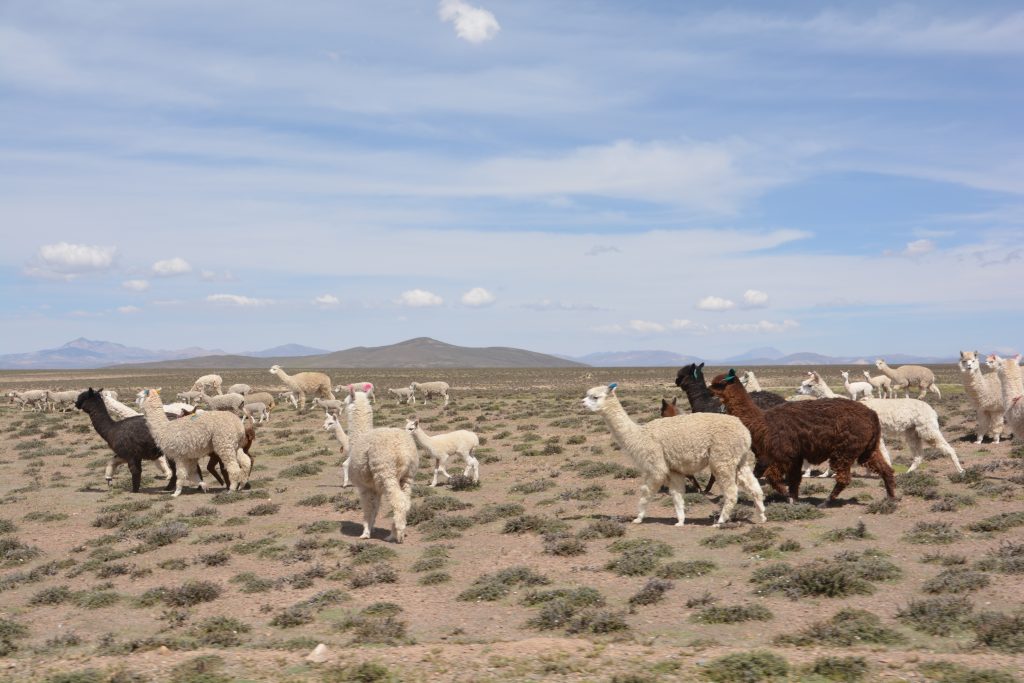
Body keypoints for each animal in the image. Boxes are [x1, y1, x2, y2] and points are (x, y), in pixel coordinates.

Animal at [344, 386, 418, 542]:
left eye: (345, 401)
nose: (340, 407)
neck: (358, 438)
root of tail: (402, 450)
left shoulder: (363, 487)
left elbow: (367, 508)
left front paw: (365, 533)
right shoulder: (375, 487)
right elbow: (375, 507)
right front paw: (371, 528)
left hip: (386, 472)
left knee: (398, 501)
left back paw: (397, 535)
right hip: (408, 476)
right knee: (406, 501)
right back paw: (394, 532)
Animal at [584, 383, 765, 527]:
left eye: (595, 396)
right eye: (587, 395)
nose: (582, 402)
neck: (640, 436)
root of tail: (744, 431)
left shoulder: (656, 466)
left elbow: (646, 492)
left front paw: (638, 518)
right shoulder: (674, 470)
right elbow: (677, 496)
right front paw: (680, 521)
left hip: (722, 459)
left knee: (732, 491)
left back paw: (720, 521)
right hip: (740, 459)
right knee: (753, 486)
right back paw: (762, 515)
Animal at [710, 370, 896, 506]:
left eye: (718, 383)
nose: (709, 391)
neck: (762, 421)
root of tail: (872, 415)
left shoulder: (783, 454)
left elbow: (773, 477)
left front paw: (788, 497)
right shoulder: (794, 457)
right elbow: (794, 480)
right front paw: (793, 498)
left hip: (845, 450)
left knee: (844, 478)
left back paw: (826, 502)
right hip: (866, 449)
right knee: (886, 469)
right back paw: (891, 498)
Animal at [799, 371, 962, 473]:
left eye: (809, 385)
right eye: (802, 383)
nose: (798, 390)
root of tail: (932, 410)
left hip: (926, 428)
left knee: (946, 447)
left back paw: (960, 470)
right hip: (912, 431)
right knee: (918, 455)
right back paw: (908, 473)